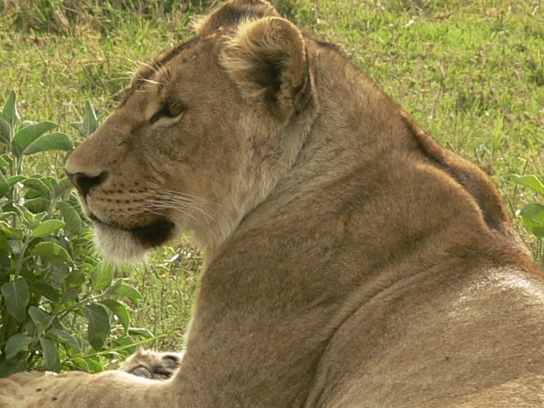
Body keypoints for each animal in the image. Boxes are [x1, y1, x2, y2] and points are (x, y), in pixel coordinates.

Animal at [1, 0, 544, 406]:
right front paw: (151, 361)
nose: (76, 176)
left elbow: (84, 388)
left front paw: (19, 384)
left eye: (171, 111)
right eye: (129, 94)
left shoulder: (205, 396)